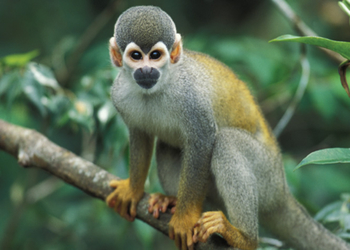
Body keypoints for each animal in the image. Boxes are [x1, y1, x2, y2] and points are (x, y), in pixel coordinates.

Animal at [106, 5, 350, 250]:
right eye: (136, 56)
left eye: (155, 56)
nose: (147, 71)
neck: (158, 87)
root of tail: (282, 191)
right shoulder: (118, 94)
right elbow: (140, 136)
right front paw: (133, 191)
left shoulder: (191, 97)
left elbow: (203, 141)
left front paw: (185, 219)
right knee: (168, 147)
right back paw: (172, 200)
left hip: (267, 176)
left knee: (226, 142)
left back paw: (244, 237)